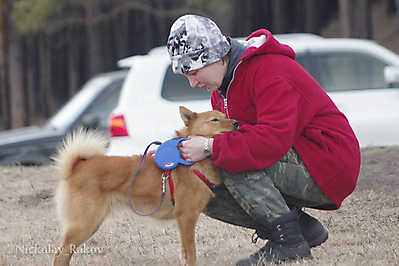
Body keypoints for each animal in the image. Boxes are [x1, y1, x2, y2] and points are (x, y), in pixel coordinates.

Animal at [51, 106, 239, 266]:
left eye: (225, 116)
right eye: (215, 120)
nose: (236, 122)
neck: (191, 162)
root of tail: (77, 166)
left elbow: (185, 254)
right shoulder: (186, 217)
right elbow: (191, 254)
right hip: (85, 224)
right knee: (60, 255)